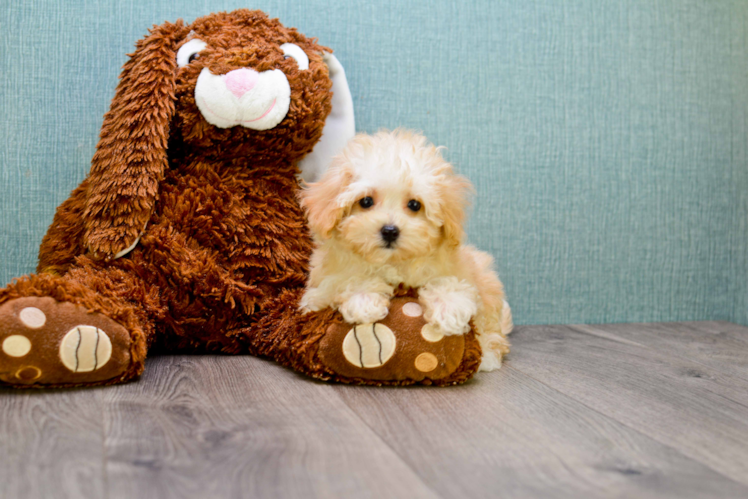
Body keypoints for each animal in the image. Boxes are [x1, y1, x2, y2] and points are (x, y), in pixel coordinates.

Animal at [298, 129, 516, 372]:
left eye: (414, 205)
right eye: (366, 201)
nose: (390, 231)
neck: (392, 262)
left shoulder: (460, 268)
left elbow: (448, 281)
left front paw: (448, 308)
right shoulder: (318, 290)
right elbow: (346, 279)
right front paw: (364, 301)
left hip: (487, 283)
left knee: (491, 328)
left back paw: (488, 355)